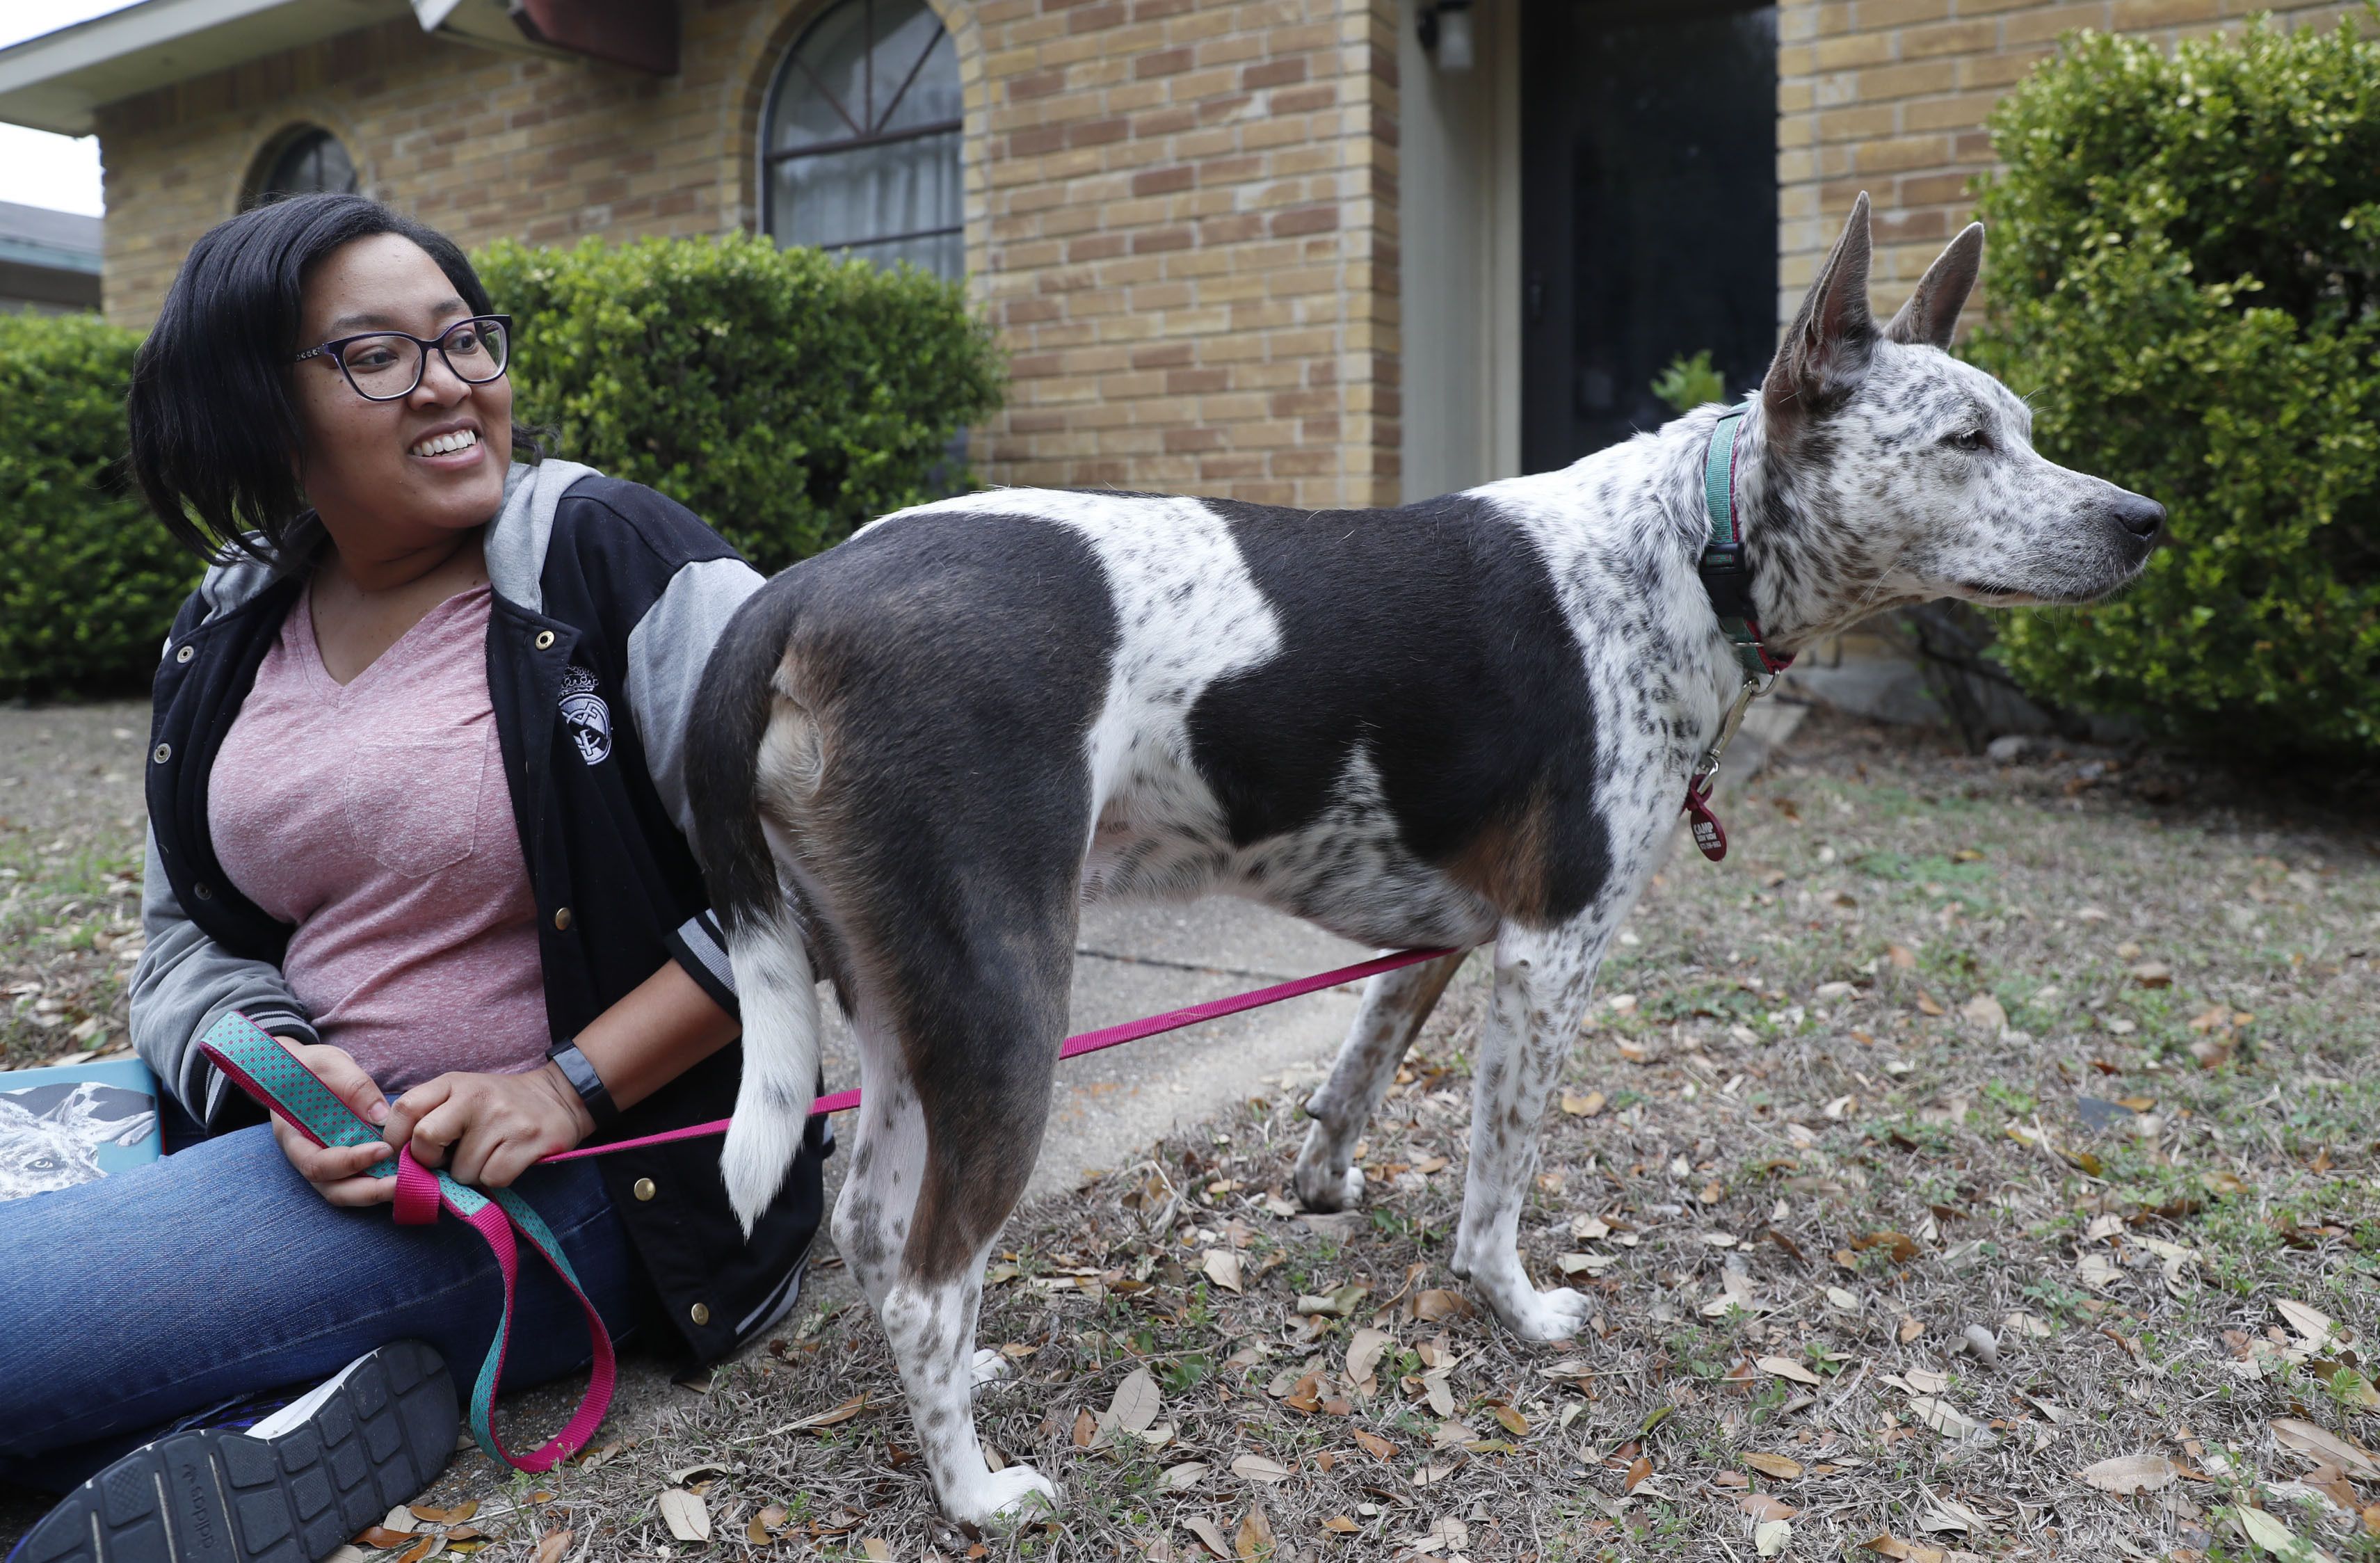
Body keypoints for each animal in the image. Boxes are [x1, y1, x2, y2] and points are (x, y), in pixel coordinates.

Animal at [685, 195, 2161, 1522]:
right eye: (1965, 440)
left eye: (2024, 427)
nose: (2144, 519)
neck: (1696, 548)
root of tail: (804, 583)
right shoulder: (1550, 952)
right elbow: (1496, 1177)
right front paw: (1514, 1307)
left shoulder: (1449, 933)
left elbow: (1360, 1067)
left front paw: (1323, 1185)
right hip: (1006, 1009)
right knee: (928, 1276)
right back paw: (976, 1492)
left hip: (899, 998)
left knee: (873, 1230)